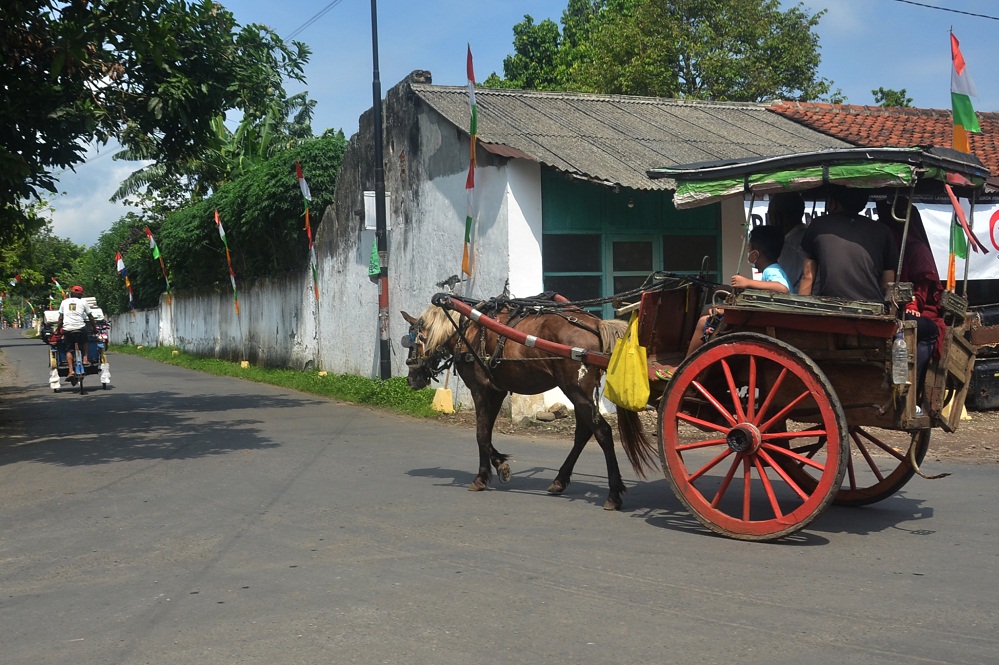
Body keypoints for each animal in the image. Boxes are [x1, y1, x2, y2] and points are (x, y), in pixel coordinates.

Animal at [402, 298, 660, 510]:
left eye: (411, 341)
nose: (411, 380)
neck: (469, 331)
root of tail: (596, 324)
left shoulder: (481, 390)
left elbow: (481, 434)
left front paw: (483, 477)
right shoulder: (497, 391)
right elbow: (486, 433)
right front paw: (499, 466)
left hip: (575, 389)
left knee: (603, 432)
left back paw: (613, 494)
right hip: (578, 393)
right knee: (584, 433)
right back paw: (559, 481)